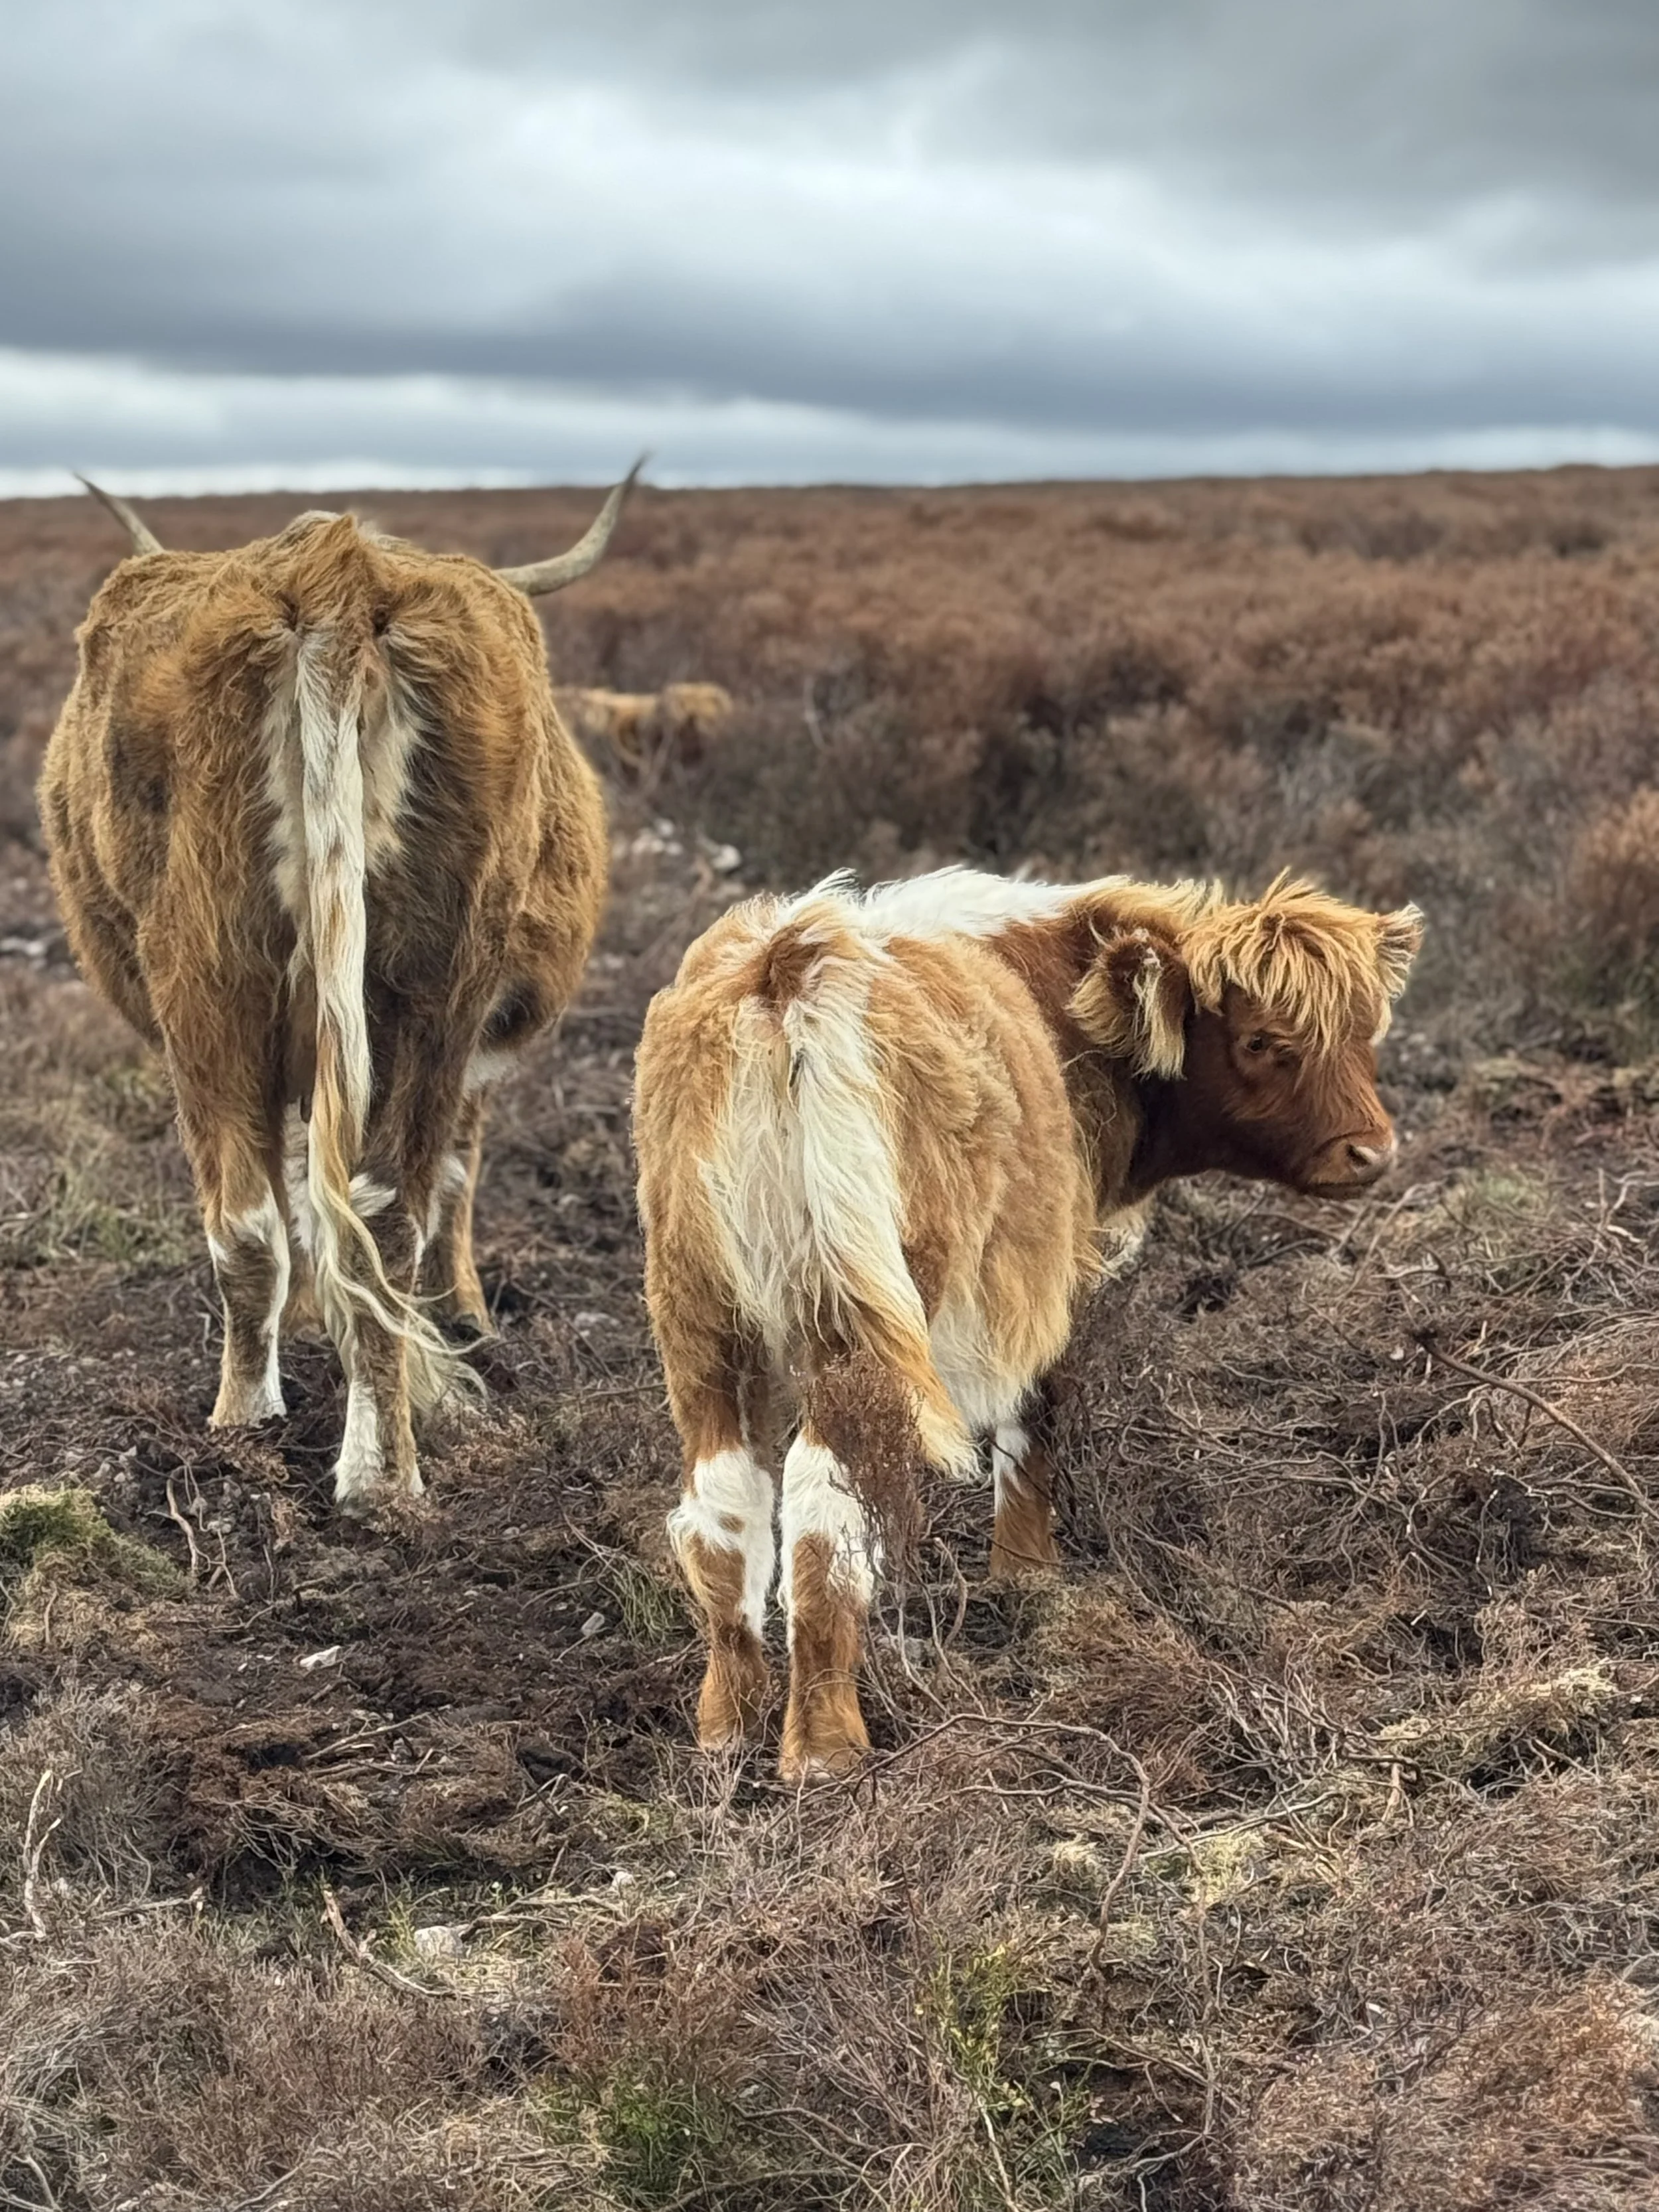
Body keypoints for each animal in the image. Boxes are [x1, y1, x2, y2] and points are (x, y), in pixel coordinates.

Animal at [40, 470, 637, 1510]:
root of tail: (336, 570)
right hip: (423, 987)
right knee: (376, 1215)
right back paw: (377, 1466)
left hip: (212, 974)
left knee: (262, 1222)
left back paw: (258, 1421)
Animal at [633, 865, 1422, 1781]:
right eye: (1262, 1040)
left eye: (1366, 1031)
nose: (1370, 1151)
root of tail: (791, 961)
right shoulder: (1046, 1274)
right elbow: (1036, 1407)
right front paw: (1026, 1575)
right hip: (860, 1313)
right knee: (825, 1512)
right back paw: (826, 1748)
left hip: (698, 1308)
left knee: (723, 1505)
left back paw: (726, 1731)